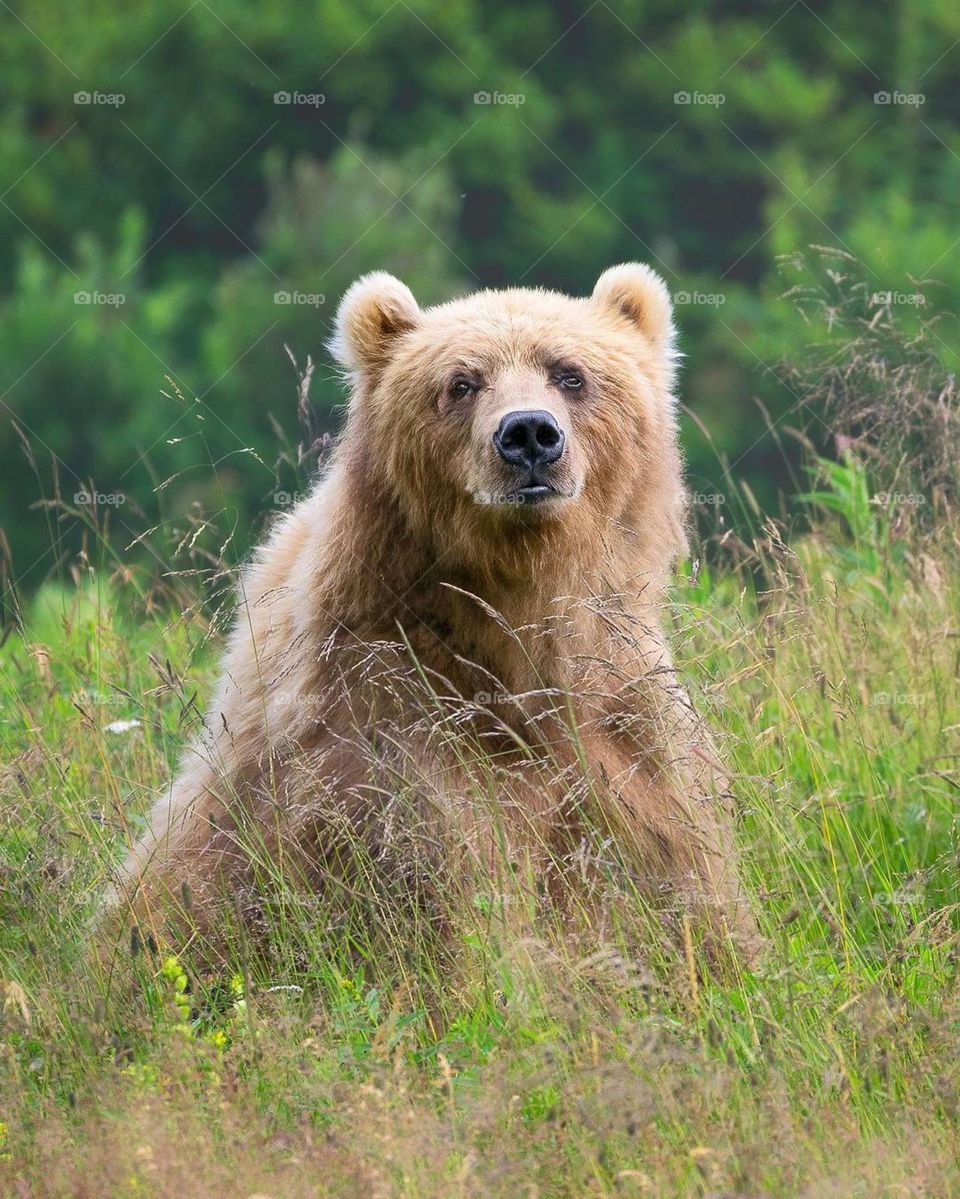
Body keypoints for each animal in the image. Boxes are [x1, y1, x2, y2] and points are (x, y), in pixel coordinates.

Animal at [112, 263, 758, 966]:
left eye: (569, 373)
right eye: (461, 383)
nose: (529, 435)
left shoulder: (622, 708)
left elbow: (676, 863)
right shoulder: (392, 709)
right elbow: (446, 878)